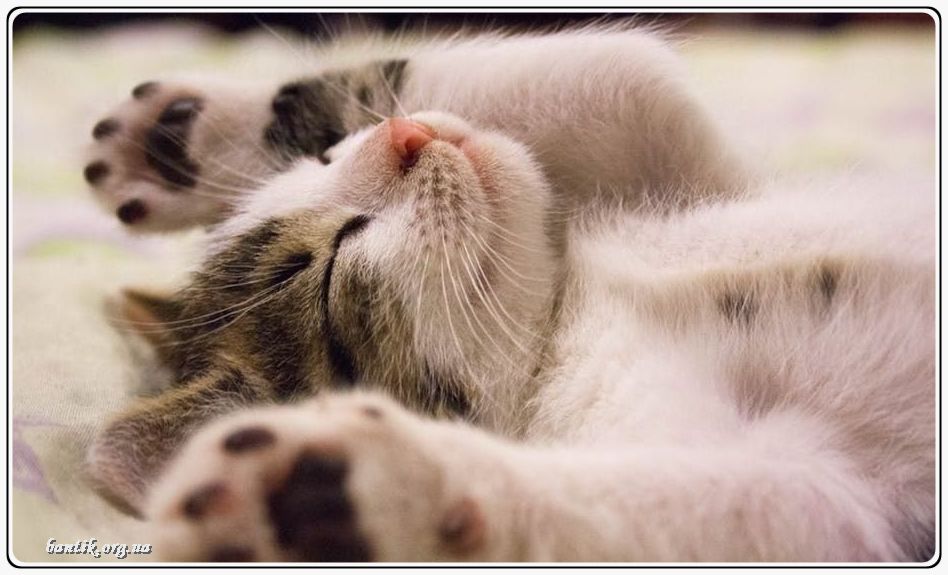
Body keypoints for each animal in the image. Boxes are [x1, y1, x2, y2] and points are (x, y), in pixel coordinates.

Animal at [83, 25, 935, 562]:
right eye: (323, 273)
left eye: (325, 158)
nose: (406, 136)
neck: (569, 308)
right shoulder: (859, 512)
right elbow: (775, 505)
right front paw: (361, 496)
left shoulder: (712, 181)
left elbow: (626, 77)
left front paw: (181, 137)